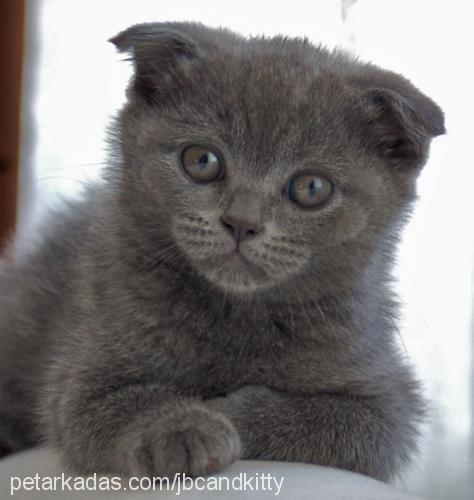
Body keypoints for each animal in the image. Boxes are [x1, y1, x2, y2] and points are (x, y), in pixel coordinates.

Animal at [0, 22, 444, 480]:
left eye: (311, 187)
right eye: (201, 160)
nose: (241, 222)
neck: (237, 314)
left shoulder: (389, 405)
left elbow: (325, 421)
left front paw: (225, 413)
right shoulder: (82, 375)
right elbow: (116, 404)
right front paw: (182, 427)